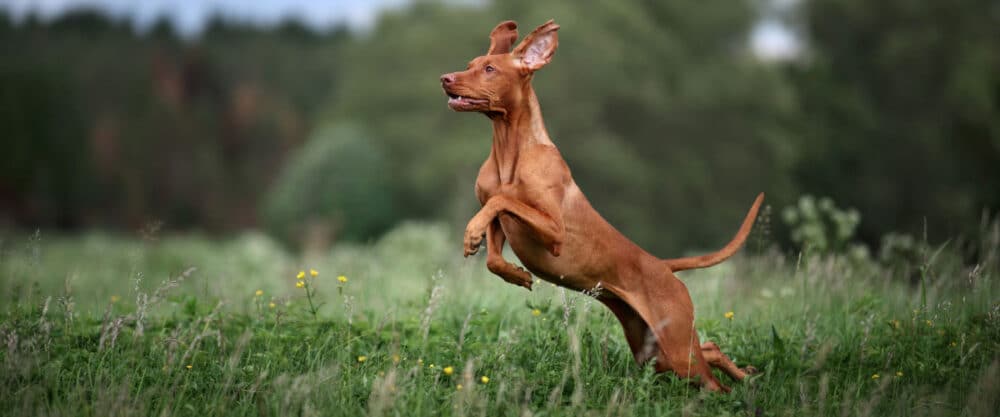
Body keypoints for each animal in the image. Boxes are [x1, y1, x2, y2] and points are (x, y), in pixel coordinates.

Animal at [442, 18, 760, 390]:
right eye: (469, 65)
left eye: (490, 69)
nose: (445, 78)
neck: (509, 150)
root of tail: (664, 266)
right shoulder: (500, 219)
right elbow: (493, 249)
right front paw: (514, 273)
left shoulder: (554, 231)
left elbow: (502, 200)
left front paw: (471, 232)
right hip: (655, 351)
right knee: (710, 348)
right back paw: (747, 376)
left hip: (679, 351)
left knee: (714, 381)